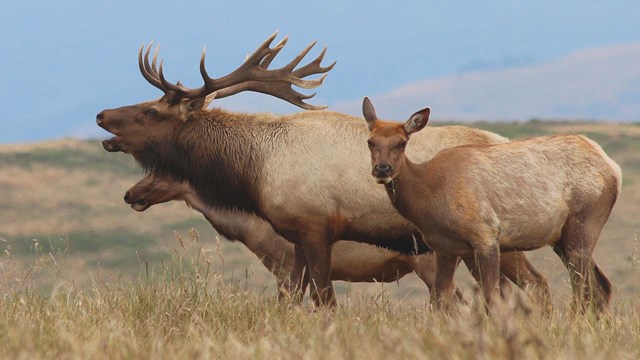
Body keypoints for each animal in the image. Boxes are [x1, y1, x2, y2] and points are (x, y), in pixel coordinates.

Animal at [100, 31, 552, 306]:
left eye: (150, 110)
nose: (102, 115)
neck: (256, 170)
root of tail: (504, 142)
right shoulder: (296, 238)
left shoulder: (315, 229)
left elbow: (324, 301)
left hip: (487, 239)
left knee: (534, 284)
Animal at [364, 96, 620, 312]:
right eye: (370, 141)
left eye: (402, 142)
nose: (382, 169)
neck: (429, 198)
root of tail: (613, 167)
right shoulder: (445, 249)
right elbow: (439, 301)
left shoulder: (486, 236)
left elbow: (491, 298)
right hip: (560, 237)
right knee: (601, 284)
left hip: (584, 222)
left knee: (581, 287)